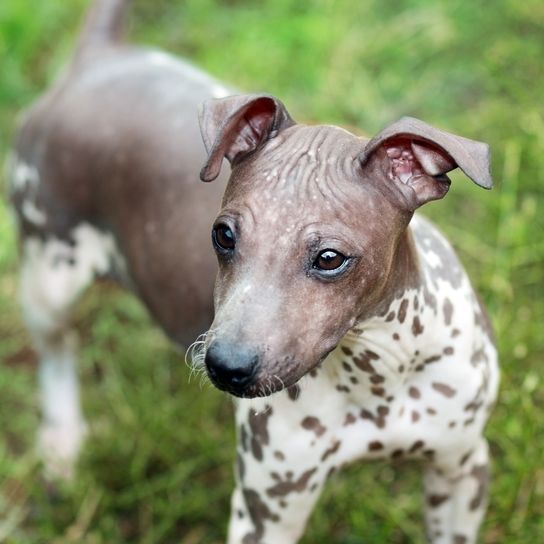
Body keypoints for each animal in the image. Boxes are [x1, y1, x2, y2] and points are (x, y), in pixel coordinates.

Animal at [198, 95, 500, 540]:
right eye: (223, 235)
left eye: (329, 258)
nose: (225, 366)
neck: (377, 373)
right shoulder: (264, 513)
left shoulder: (461, 471)